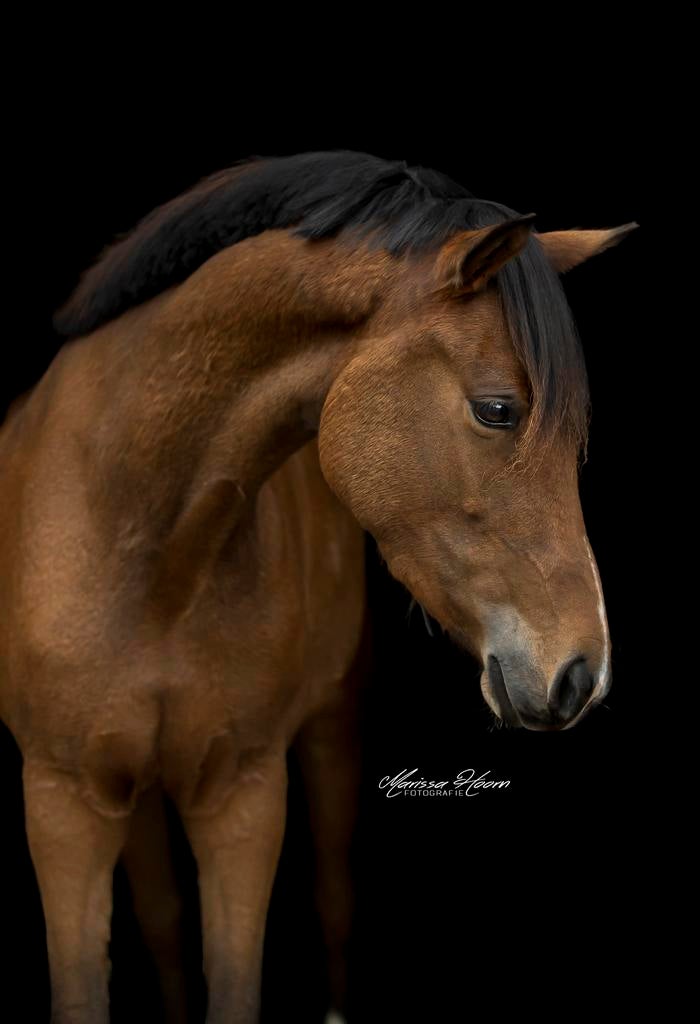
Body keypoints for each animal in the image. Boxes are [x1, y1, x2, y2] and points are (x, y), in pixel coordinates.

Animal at [0, 150, 636, 1023]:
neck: (135, 543)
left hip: (333, 730)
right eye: (498, 410)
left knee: (332, 898)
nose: (583, 673)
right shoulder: (63, 805)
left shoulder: (242, 796)